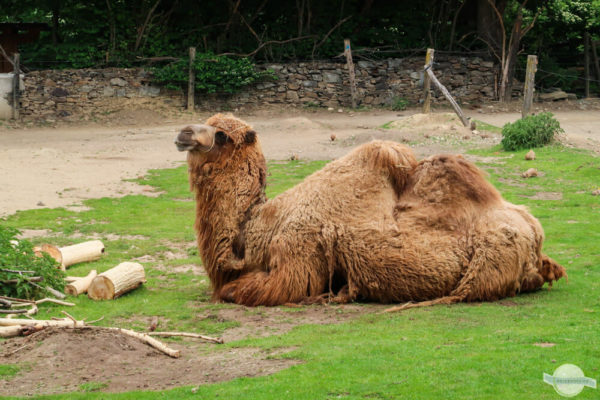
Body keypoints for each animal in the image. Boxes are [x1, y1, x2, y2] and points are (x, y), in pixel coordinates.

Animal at [175, 114, 568, 308]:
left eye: (222, 135)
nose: (183, 133)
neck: (261, 227)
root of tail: (536, 235)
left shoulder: (296, 256)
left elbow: (237, 291)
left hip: (491, 259)